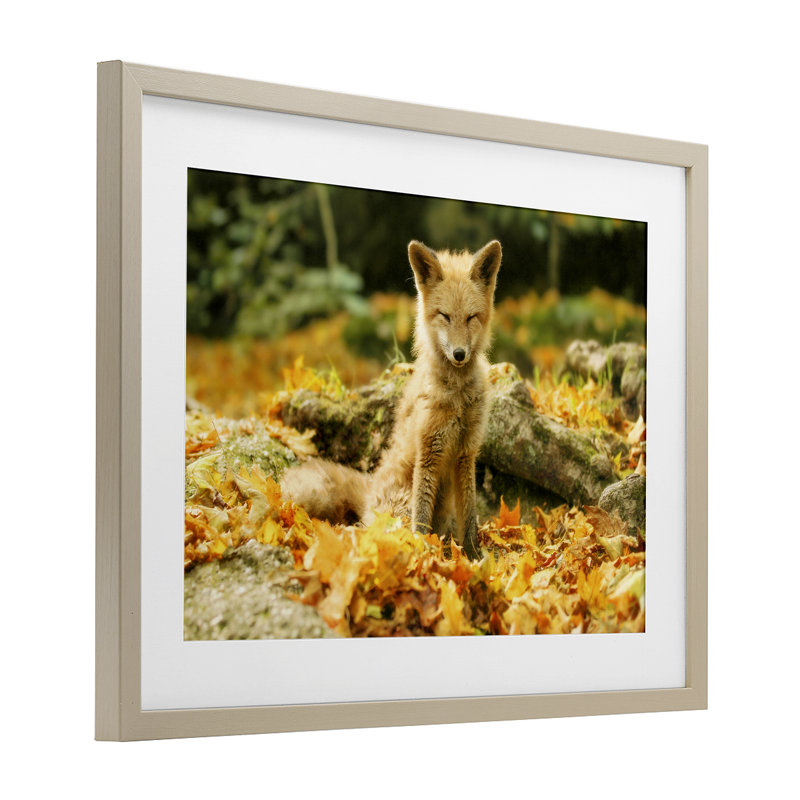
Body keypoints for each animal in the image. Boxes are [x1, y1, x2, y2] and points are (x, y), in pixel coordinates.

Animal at [280, 239, 502, 560]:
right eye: (445, 316)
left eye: (471, 318)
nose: (459, 354)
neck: (457, 397)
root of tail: (370, 487)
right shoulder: (429, 450)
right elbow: (420, 518)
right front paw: (424, 555)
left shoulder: (465, 452)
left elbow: (470, 519)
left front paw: (474, 559)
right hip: (400, 504)